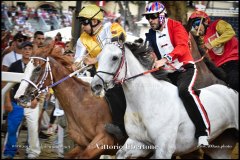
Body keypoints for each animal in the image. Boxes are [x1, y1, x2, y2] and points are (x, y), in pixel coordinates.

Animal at [90, 38, 238, 158]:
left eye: (114, 57)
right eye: (99, 58)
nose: (95, 86)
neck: (146, 102)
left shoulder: (164, 149)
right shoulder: (139, 143)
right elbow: (120, 153)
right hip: (220, 148)